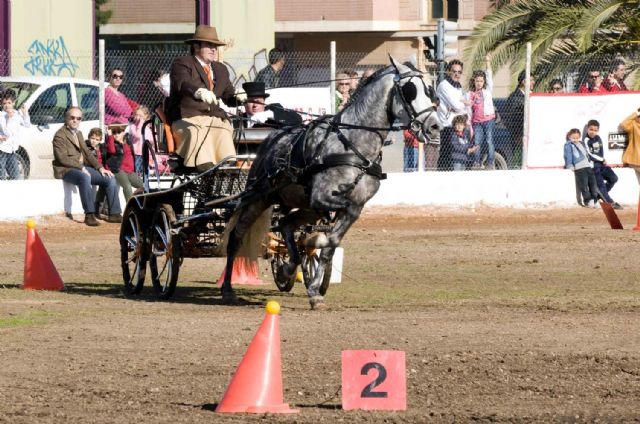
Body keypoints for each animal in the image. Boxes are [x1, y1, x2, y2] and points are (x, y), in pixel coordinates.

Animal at [222, 56, 442, 309]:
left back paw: (288, 268)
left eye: (429, 89)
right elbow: (335, 227)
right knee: (236, 237)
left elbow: (331, 245)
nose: (435, 127)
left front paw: (315, 291)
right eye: (410, 90)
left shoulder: (352, 205)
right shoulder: (324, 197)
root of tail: (270, 139)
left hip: (306, 206)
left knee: (286, 223)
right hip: (259, 199)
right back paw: (227, 289)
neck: (353, 145)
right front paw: (316, 247)